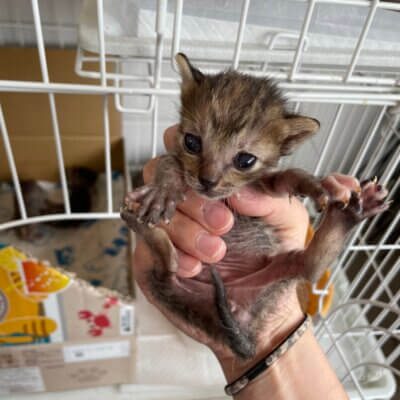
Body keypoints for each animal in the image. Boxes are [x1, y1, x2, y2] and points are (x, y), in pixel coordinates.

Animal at [121, 53, 388, 360]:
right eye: (191, 142)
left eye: (245, 160)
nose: (207, 181)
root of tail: (238, 315)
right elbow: (169, 163)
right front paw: (163, 191)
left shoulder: (259, 188)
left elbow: (282, 177)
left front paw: (310, 183)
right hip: (170, 288)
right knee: (169, 267)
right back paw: (136, 221)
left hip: (278, 271)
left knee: (309, 265)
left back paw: (353, 211)